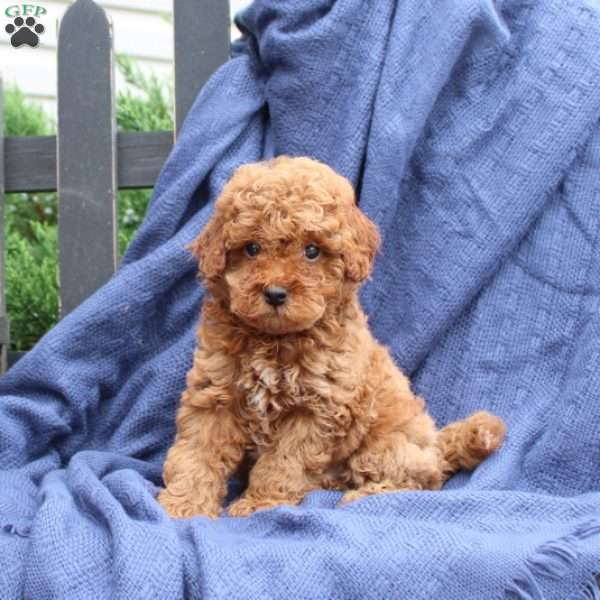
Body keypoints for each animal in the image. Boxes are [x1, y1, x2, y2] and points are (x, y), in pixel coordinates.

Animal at [157, 157, 504, 516]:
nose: (276, 293)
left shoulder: (315, 410)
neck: (274, 340)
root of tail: (436, 443)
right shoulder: (215, 394)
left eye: (312, 251)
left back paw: (363, 497)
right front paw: (184, 504)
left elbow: (282, 463)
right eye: (252, 248)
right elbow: (197, 452)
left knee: (420, 479)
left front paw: (261, 503)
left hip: (385, 444)